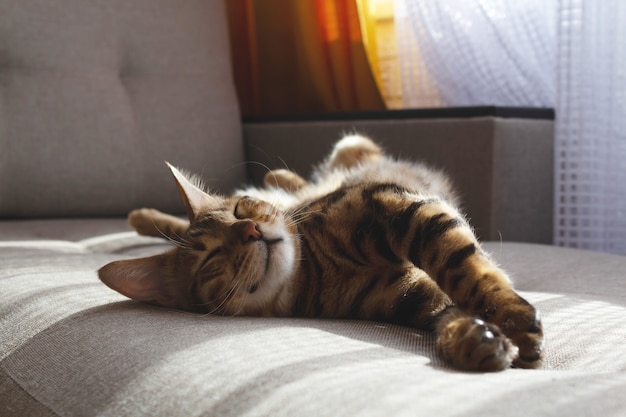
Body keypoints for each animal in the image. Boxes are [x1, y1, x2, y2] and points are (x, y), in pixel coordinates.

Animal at [98, 133, 540, 370]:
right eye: (211, 258)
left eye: (240, 209)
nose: (251, 230)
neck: (316, 272)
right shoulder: (411, 292)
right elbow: (451, 301)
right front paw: (475, 337)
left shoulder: (393, 204)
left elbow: (464, 268)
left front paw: (512, 319)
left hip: (350, 145)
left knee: (307, 177)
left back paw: (279, 176)